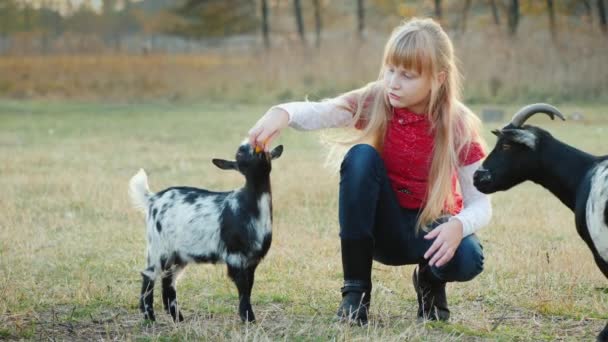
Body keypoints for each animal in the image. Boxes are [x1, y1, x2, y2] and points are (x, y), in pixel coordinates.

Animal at [129, 142, 284, 324]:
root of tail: (153, 199)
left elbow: (248, 287)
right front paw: (248, 318)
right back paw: (150, 317)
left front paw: (248, 318)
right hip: (159, 248)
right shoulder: (235, 256)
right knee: (149, 275)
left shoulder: (252, 260)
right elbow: (243, 287)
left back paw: (178, 318)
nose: (254, 145)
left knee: (168, 280)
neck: (249, 207)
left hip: (179, 255)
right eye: (239, 155)